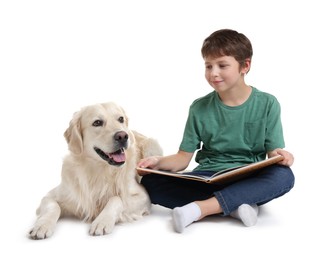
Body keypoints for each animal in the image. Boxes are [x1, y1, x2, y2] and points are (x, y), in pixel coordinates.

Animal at [28, 102, 162, 240]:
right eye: (97, 122)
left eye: (120, 119)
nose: (123, 136)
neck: (99, 170)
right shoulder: (51, 196)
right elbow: (53, 206)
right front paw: (42, 225)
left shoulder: (144, 196)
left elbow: (116, 199)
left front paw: (102, 221)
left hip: (152, 146)